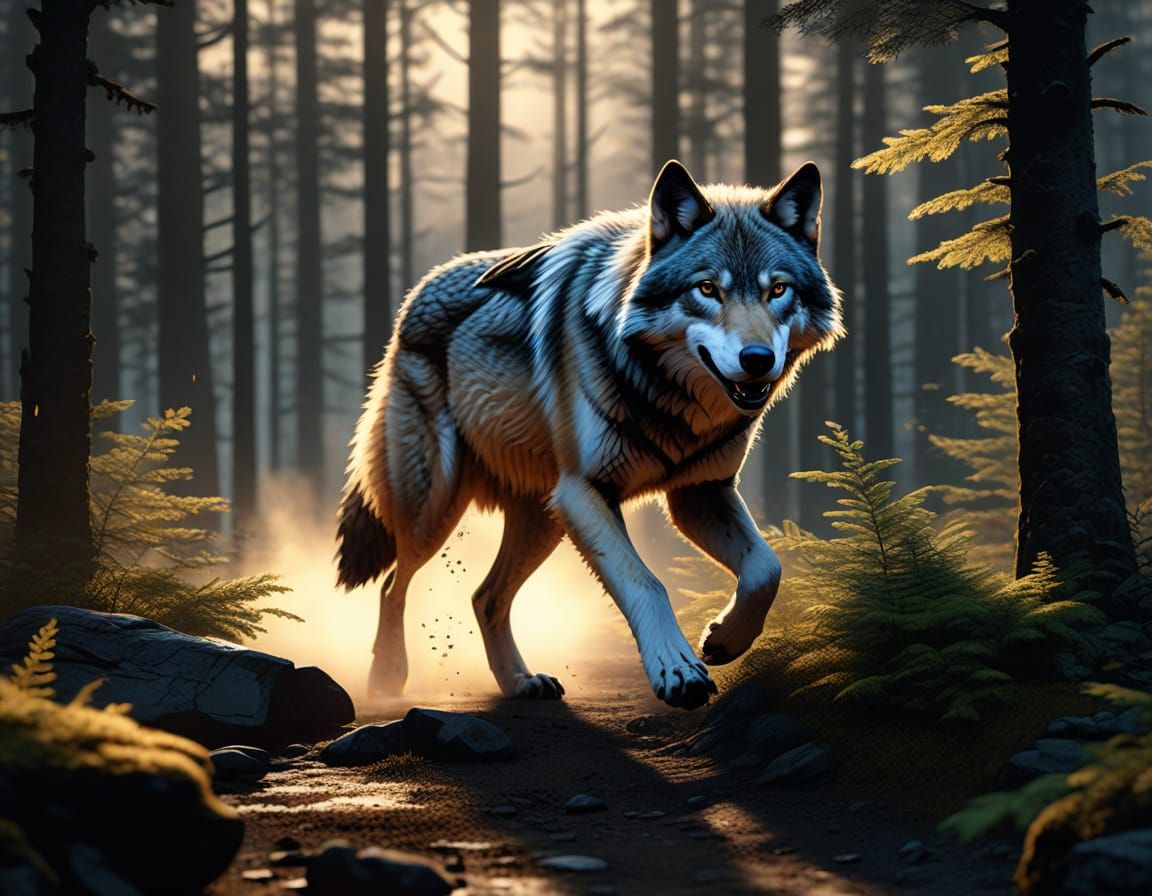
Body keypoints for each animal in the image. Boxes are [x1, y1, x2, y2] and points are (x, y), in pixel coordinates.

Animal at [337, 160, 843, 709]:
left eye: (778, 290)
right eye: (707, 289)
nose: (757, 360)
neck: (666, 398)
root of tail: (418, 290)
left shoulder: (699, 492)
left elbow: (766, 569)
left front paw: (725, 638)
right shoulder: (586, 491)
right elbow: (646, 583)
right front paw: (678, 671)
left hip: (543, 518)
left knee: (485, 597)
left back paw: (520, 681)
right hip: (436, 506)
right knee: (393, 582)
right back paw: (386, 680)